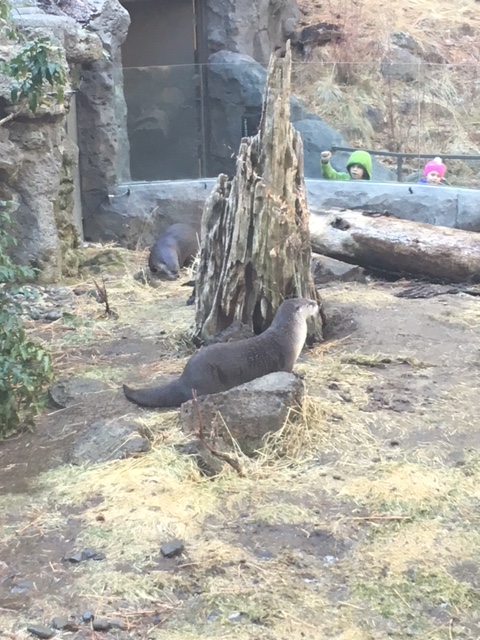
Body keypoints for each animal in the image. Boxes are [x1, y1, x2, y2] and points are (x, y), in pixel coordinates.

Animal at [123, 298, 318, 408]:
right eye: (309, 303)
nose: (317, 303)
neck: (289, 334)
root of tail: (184, 379)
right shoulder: (286, 358)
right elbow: (287, 371)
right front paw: (299, 375)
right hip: (207, 380)